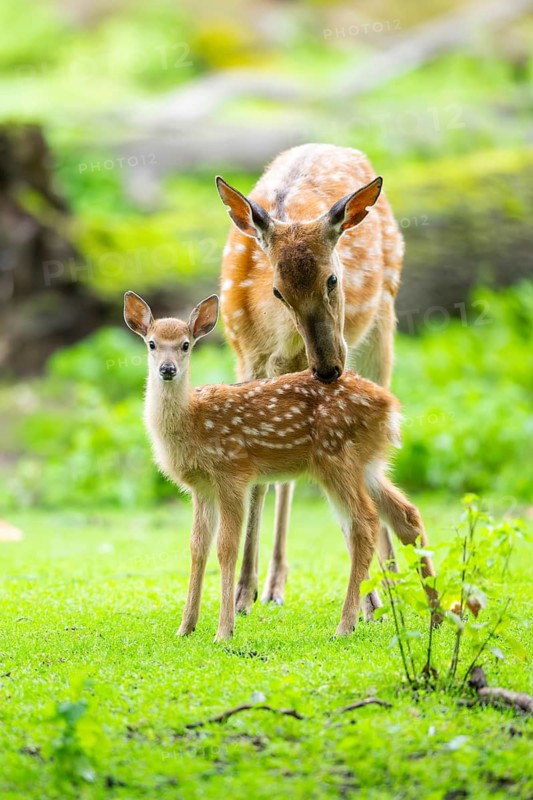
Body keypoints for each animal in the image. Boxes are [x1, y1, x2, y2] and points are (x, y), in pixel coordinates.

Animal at [124, 290, 437, 642]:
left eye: (186, 345)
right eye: (151, 343)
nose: (167, 369)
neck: (193, 422)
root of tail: (391, 407)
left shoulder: (233, 473)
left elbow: (226, 547)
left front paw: (224, 631)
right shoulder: (201, 488)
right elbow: (197, 548)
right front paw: (185, 627)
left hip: (336, 457)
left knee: (365, 522)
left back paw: (346, 624)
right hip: (367, 463)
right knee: (406, 515)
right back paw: (438, 616)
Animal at [215, 143, 413, 616]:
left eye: (333, 278)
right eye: (278, 291)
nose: (327, 368)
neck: (282, 344)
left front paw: (369, 598)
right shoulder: (247, 360)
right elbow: (261, 481)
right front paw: (243, 592)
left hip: (383, 322)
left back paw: (388, 584)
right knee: (287, 476)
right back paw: (273, 585)